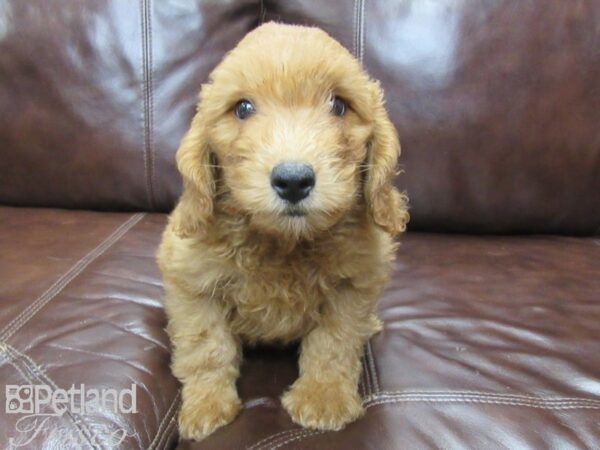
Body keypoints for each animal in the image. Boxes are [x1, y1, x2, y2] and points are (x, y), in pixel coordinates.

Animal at [156, 22, 408, 442]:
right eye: (243, 108)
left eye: (339, 106)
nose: (293, 180)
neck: (284, 243)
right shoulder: (191, 283)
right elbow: (206, 346)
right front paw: (207, 405)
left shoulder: (355, 283)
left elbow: (334, 341)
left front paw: (322, 399)